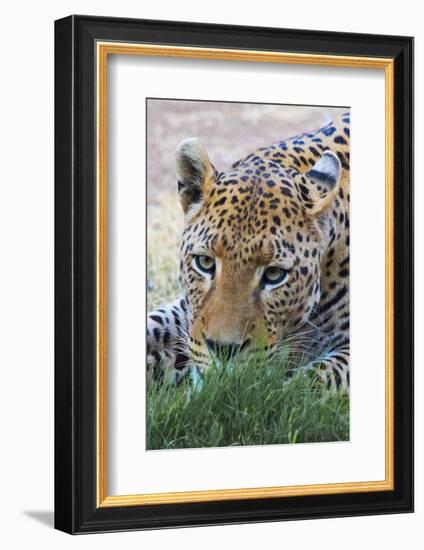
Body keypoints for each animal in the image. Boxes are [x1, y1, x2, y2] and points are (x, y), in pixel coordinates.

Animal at [147, 110, 350, 390]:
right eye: (205, 263)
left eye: (274, 275)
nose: (223, 349)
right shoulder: (186, 311)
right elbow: (154, 324)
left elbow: (305, 385)